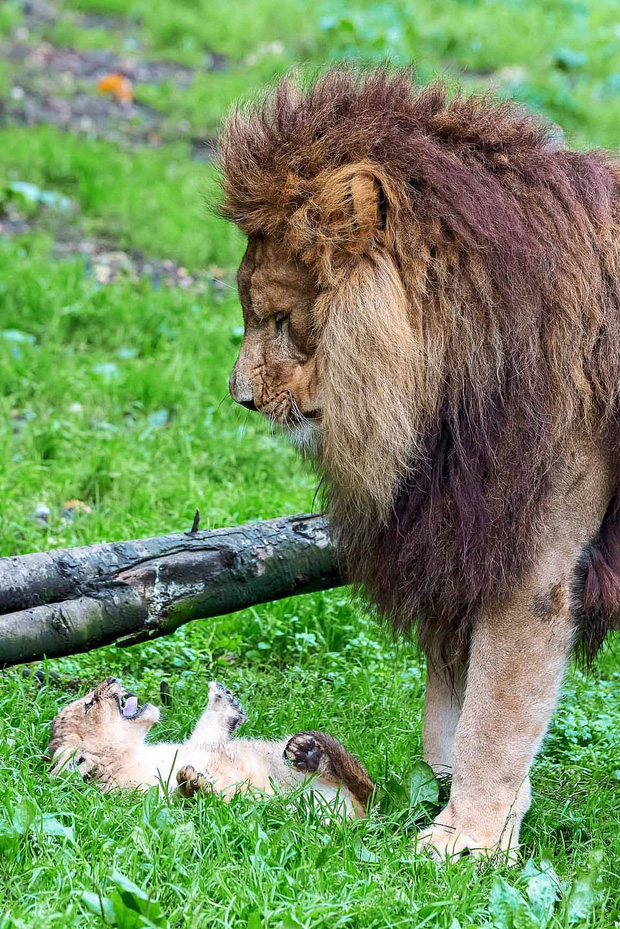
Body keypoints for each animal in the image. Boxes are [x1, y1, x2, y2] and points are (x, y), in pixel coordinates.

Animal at [220, 70, 620, 856]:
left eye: (280, 320)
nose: (241, 397)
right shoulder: (458, 531)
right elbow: (452, 699)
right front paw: (459, 799)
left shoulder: (530, 561)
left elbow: (495, 716)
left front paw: (463, 843)